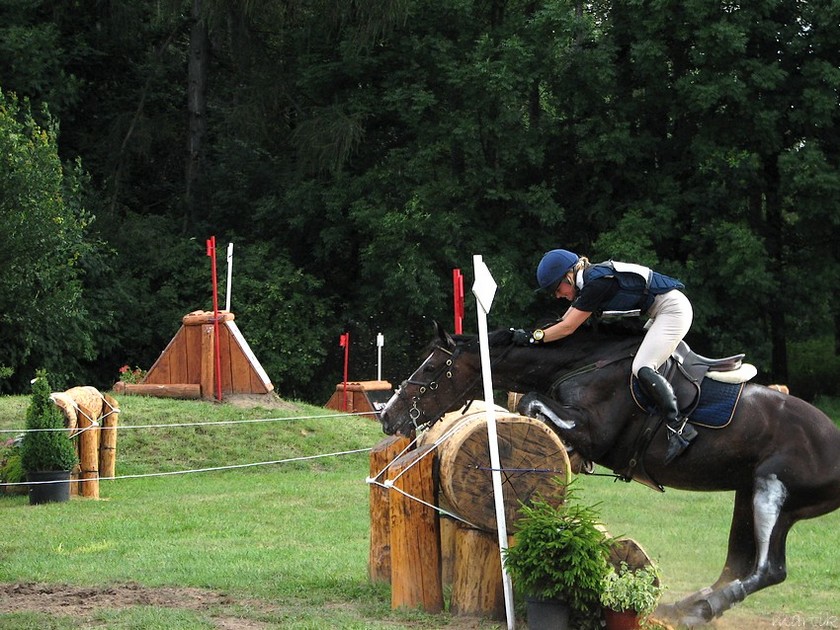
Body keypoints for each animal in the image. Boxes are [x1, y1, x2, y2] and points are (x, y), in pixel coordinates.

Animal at [378, 324, 840, 628]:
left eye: (432, 369)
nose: (389, 416)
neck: (583, 364)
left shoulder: (595, 430)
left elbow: (529, 401)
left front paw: (564, 452)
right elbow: (532, 405)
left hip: (772, 491)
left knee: (768, 568)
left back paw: (696, 612)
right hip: (748, 492)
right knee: (738, 563)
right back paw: (684, 607)